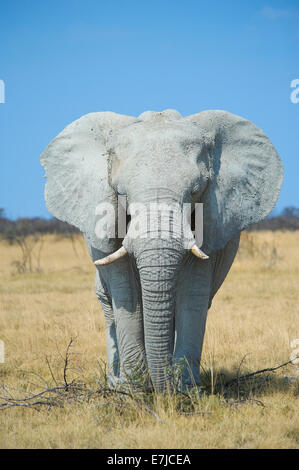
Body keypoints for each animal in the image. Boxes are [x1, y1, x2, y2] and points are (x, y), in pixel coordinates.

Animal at [39, 109, 284, 392]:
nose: (160, 389)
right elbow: (127, 293)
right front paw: (134, 391)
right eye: (121, 193)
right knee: (109, 304)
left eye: (195, 191)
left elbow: (192, 292)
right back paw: (116, 383)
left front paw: (185, 392)